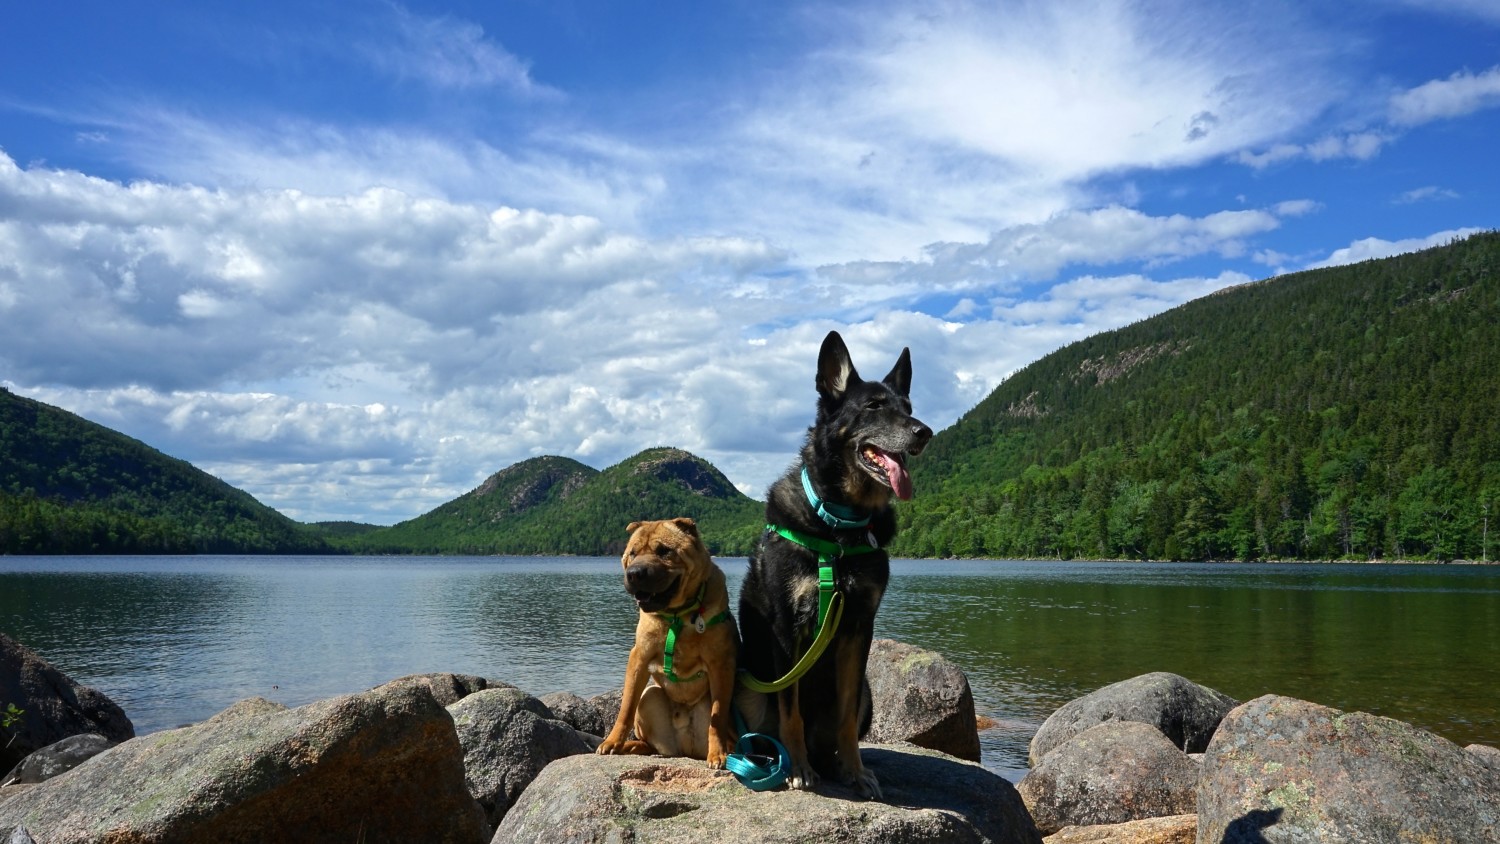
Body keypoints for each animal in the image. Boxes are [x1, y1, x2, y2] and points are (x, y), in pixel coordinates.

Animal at [597, 518, 738, 767]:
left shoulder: (721, 663)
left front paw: (718, 753)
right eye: (632, 553)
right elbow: (626, 707)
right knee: (650, 742)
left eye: (663, 550)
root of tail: (684, 750)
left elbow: (718, 715)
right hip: (649, 697)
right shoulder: (639, 657)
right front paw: (613, 741)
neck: (678, 615)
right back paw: (632, 745)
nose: (634, 573)